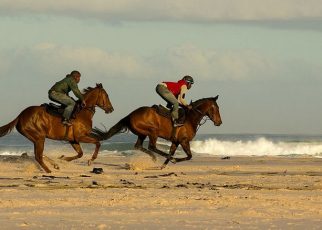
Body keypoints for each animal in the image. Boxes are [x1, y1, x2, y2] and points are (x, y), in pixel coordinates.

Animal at [91, 95, 221, 169]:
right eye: (216, 108)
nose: (219, 122)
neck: (190, 118)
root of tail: (130, 115)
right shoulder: (184, 141)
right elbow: (189, 156)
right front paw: (174, 160)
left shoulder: (176, 141)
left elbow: (172, 151)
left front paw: (164, 165)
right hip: (152, 131)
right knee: (152, 146)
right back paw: (156, 157)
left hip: (142, 134)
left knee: (138, 146)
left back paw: (154, 158)